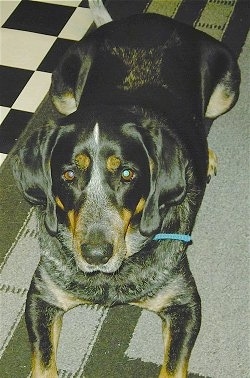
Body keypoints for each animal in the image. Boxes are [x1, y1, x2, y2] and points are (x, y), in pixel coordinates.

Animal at [12, 1, 240, 376]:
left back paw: (206, 156)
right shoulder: (42, 296)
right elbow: (43, 362)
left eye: (128, 174)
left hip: (227, 90)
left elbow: (173, 366)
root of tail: (145, 18)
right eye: (68, 175)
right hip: (61, 89)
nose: (95, 254)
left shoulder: (184, 303)